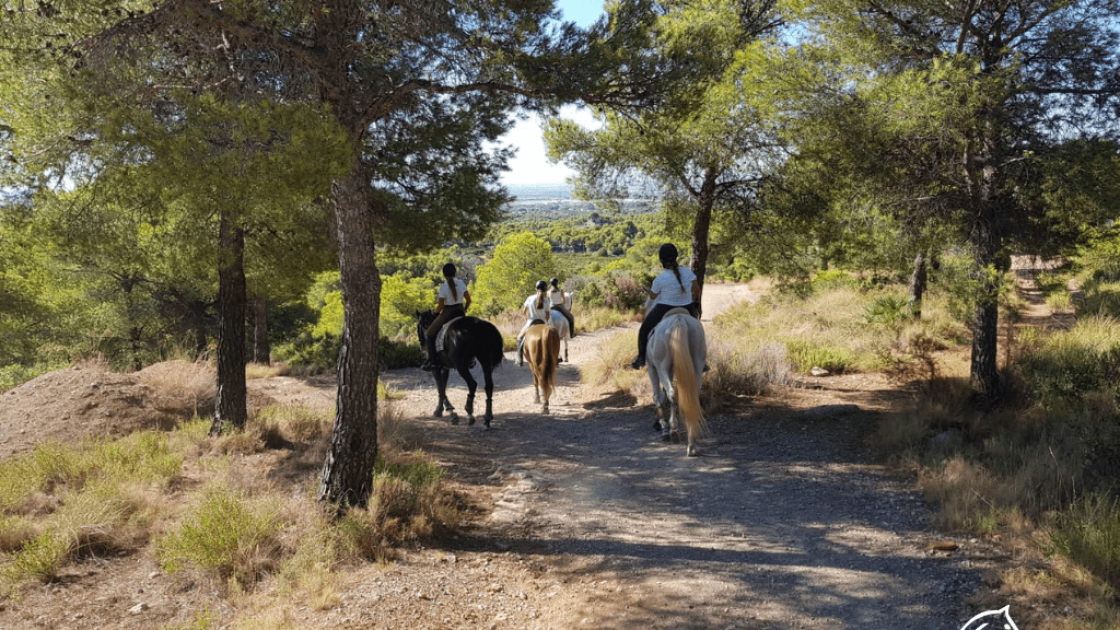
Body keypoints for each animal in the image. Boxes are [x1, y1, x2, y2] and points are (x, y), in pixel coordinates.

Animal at [646, 307, 708, 456]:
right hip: (696, 365)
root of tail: (679, 320)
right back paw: (692, 444)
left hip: (662, 366)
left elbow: (657, 396)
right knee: (692, 397)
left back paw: (673, 431)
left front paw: (663, 426)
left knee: (672, 394)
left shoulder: (652, 368)